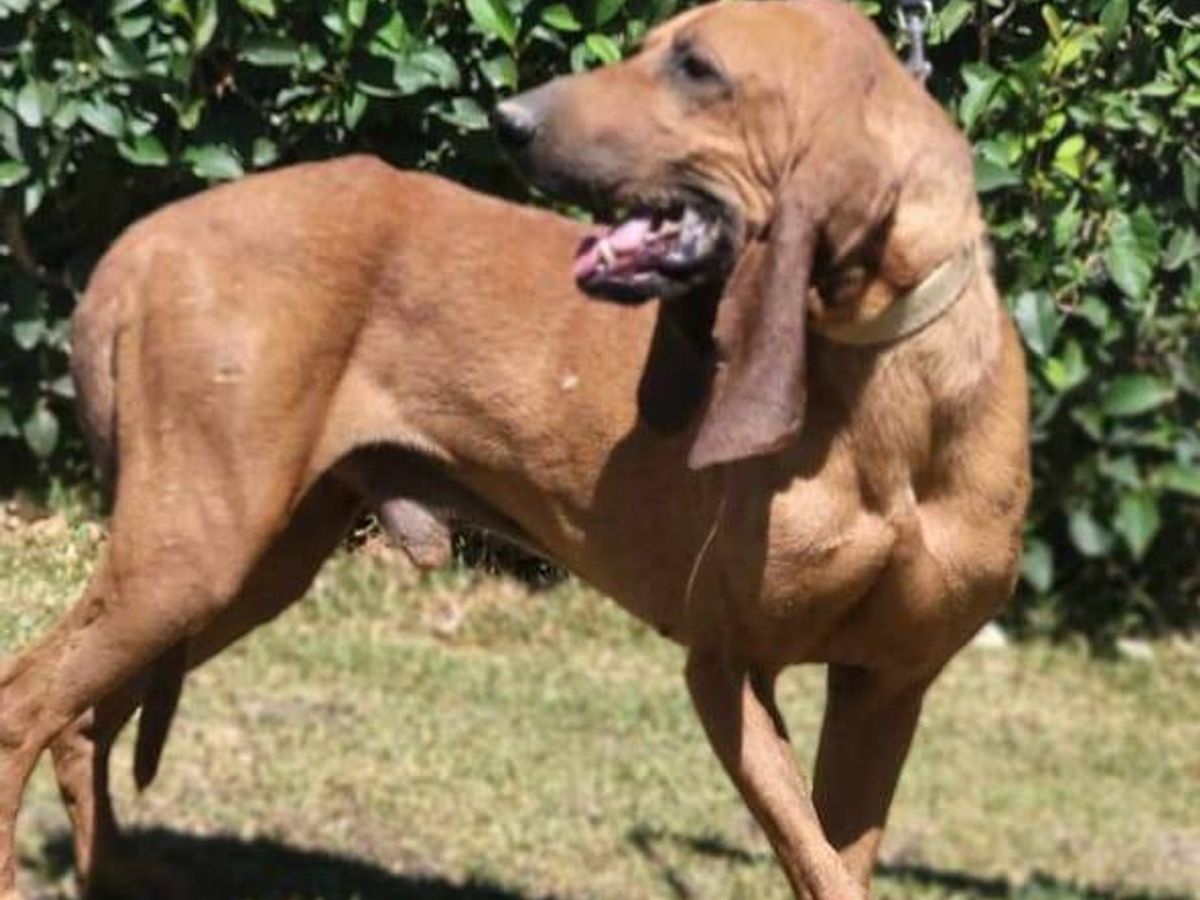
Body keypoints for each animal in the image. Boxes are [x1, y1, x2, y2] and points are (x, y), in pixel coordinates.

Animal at [0, 2, 1029, 898]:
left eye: (697, 67)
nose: (509, 119)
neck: (894, 394)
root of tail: (142, 240)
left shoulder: (886, 690)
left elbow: (834, 863)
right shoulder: (728, 666)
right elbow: (817, 862)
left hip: (246, 568)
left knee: (81, 722)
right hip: (189, 555)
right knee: (23, 706)